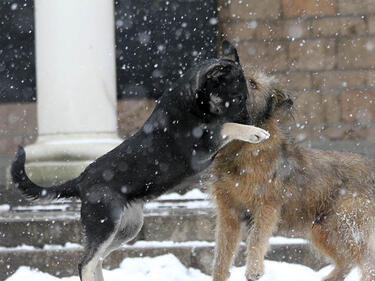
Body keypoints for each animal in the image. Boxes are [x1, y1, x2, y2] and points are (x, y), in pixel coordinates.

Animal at [11, 40, 270, 278]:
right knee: (85, 263)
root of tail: (80, 180)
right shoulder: (201, 146)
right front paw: (255, 132)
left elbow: (226, 127)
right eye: (237, 98)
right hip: (105, 224)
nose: (253, 120)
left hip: (128, 228)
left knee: (97, 259)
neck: (193, 102)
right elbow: (227, 125)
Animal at [210, 69, 375, 280]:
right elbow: (221, 255)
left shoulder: (266, 206)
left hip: (348, 225)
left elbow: (256, 238)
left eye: (253, 84)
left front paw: (254, 269)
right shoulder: (228, 212)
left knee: (367, 263)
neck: (241, 149)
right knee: (346, 261)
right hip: (322, 229)